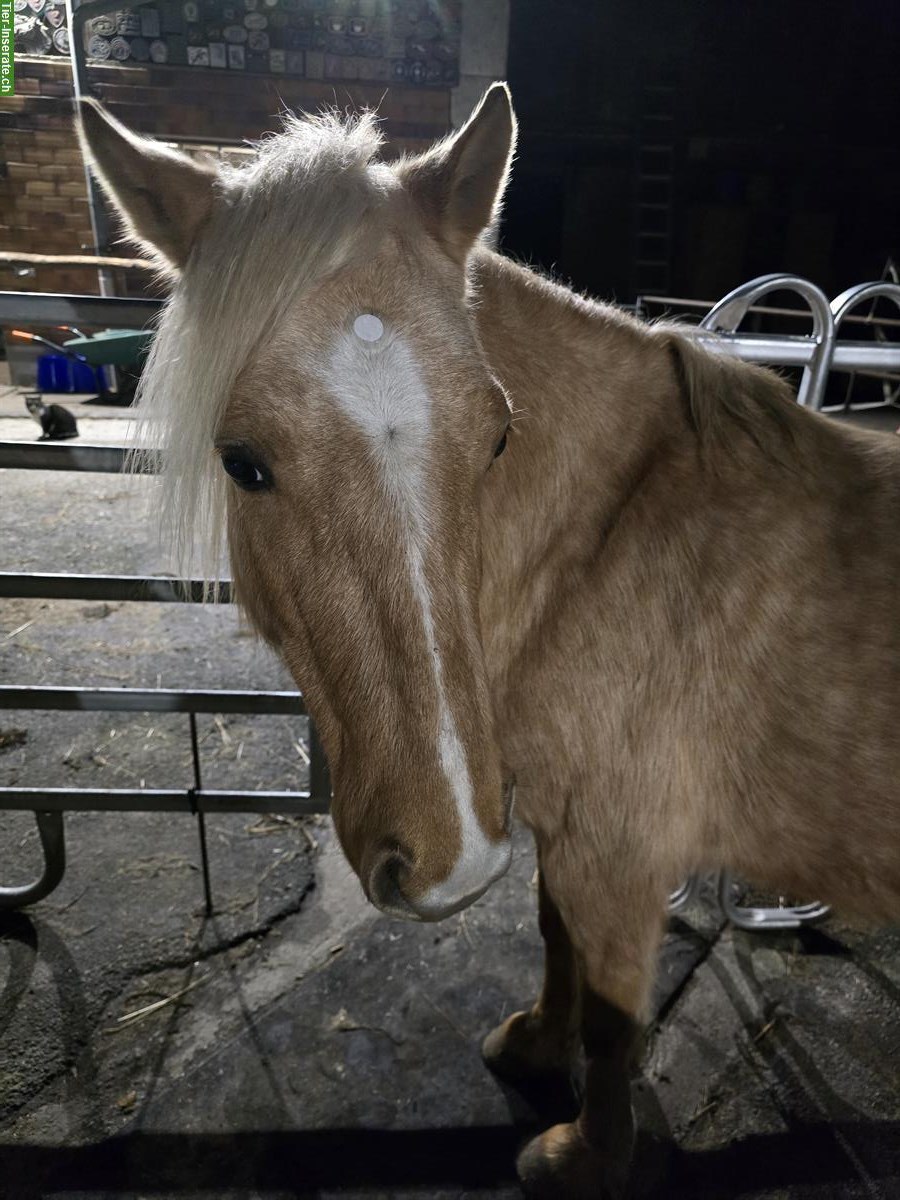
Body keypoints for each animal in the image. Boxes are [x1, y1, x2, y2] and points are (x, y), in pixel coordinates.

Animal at [77, 85, 900, 1198]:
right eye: (242, 462)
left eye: (499, 437)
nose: (453, 858)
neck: (611, 544)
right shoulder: (563, 836)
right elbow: (557, 947)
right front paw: (535, 1048)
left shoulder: (620, 855)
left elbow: (615, 1016)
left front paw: (581, 1157)